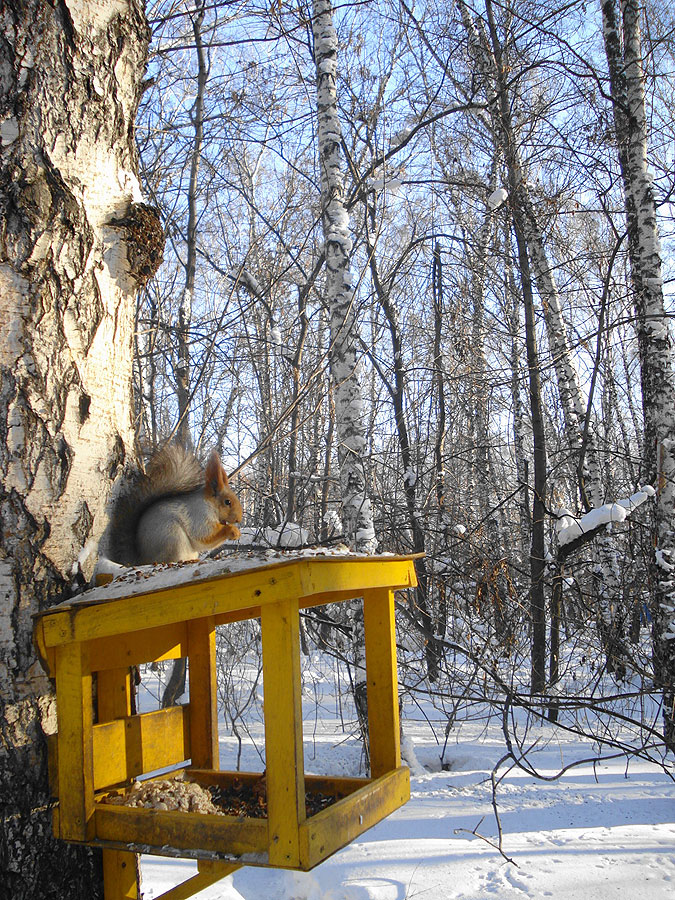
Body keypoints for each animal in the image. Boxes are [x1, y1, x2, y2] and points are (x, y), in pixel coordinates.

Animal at [105, 444, 243, 568]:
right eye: (227, 502)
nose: (239, 519)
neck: (210, 504)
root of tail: (142, 559)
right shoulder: (198, 516)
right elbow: (205, 535)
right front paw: (232, 530)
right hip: (172, 536)